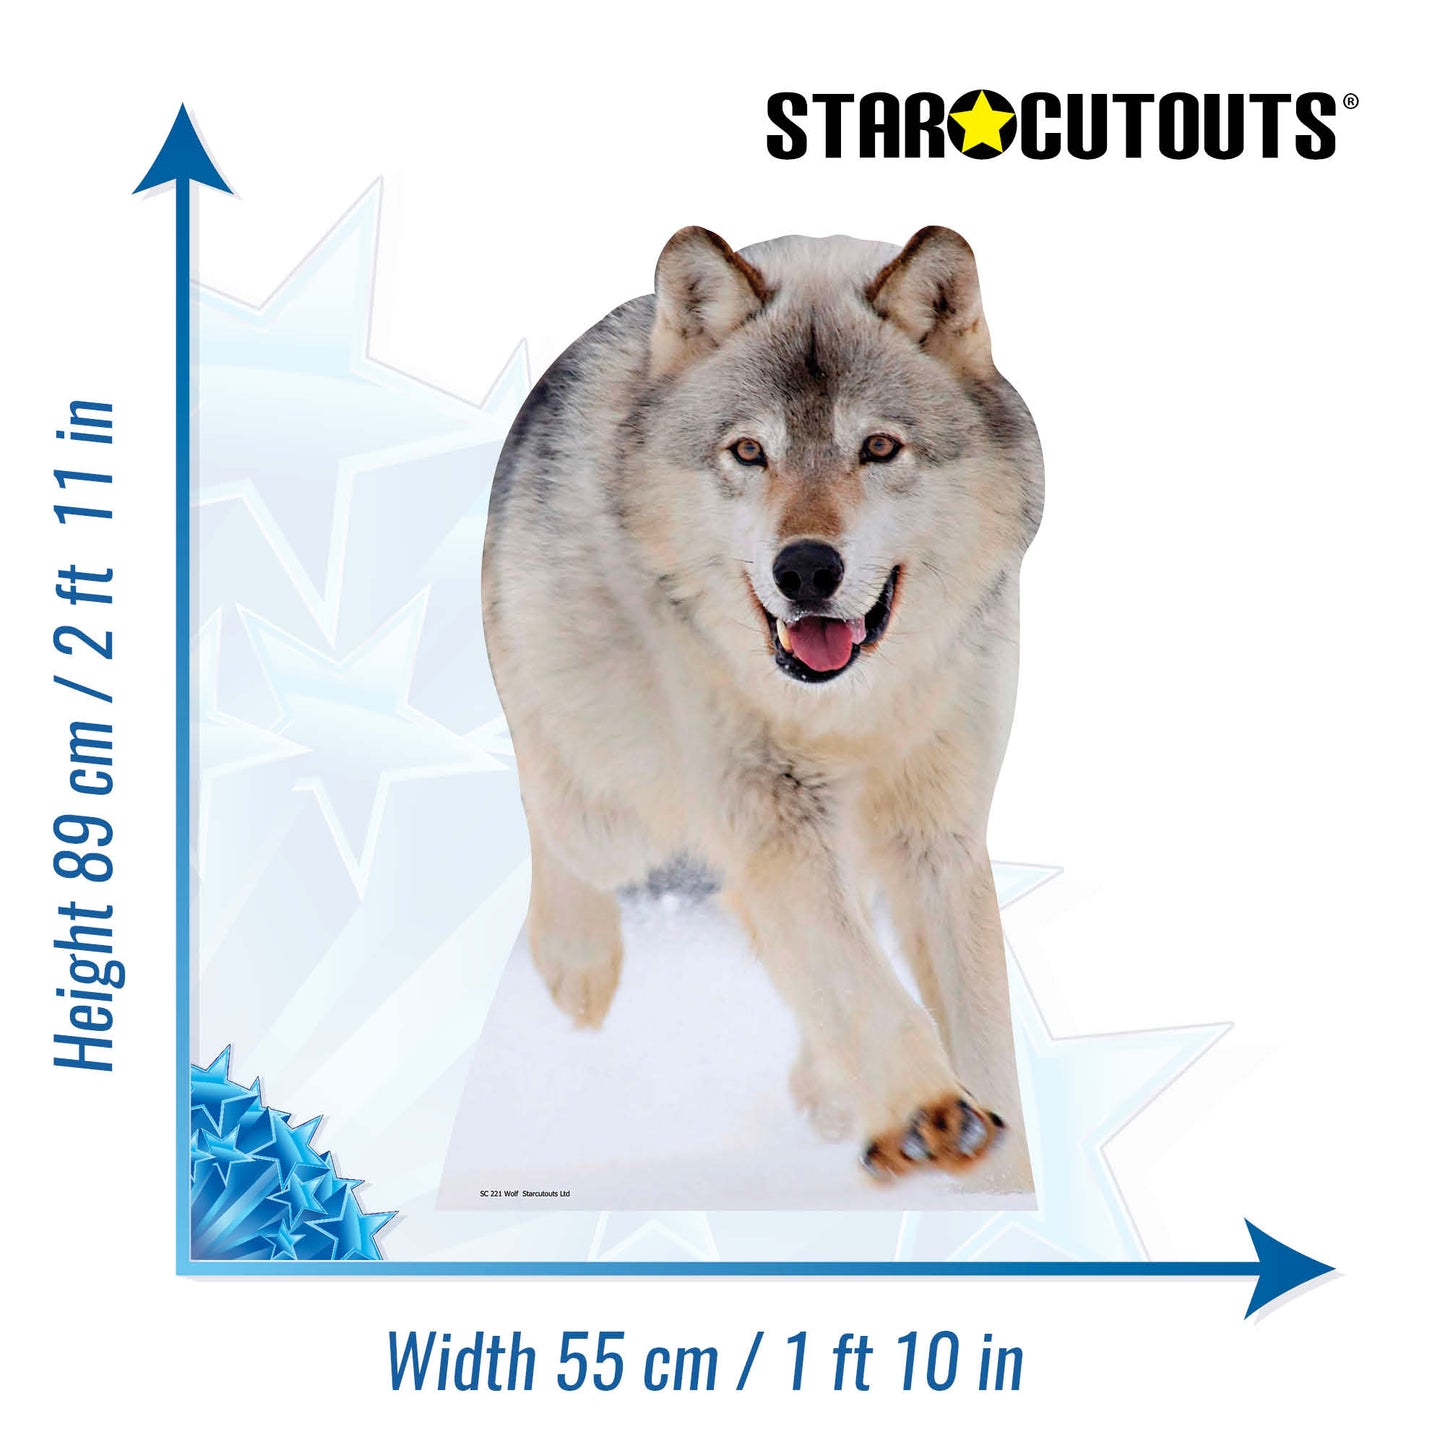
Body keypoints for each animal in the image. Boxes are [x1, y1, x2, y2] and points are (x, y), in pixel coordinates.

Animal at [482, 226, 1043, 1186]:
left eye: (878, 447)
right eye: (749, 452)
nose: (806, 568)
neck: (849, 709)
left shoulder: (938, 837)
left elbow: (975, 1035)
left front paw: (1000, 1186)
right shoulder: (769, 815)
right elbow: (860, 982)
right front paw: (929, 1111)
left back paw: (832, 1095)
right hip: (614, 807)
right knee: (552, 825)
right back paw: (576, 969)